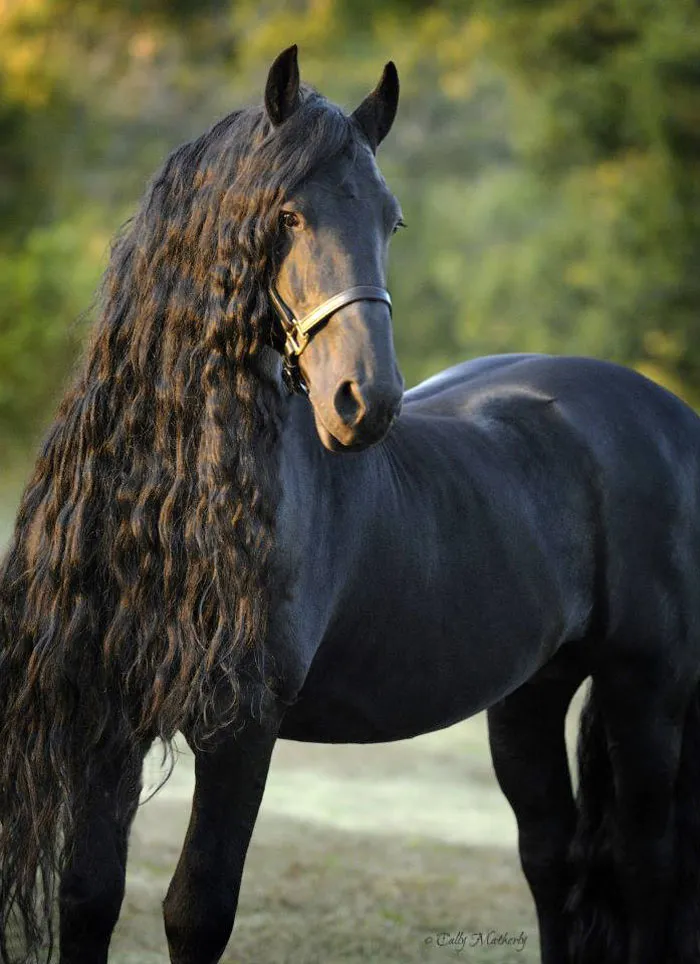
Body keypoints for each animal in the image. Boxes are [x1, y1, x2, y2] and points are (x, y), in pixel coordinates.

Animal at [1, 42, 700, 964]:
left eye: (391, 222)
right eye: (288, 215)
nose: (365, 402)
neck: (173, 504)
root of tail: (672, 416)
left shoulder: (241, 731)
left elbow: (197, 912)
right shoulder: (104, 718)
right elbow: (88, 897)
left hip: (646, 690)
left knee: (651, 869)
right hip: (532, 695)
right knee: (553, 857)